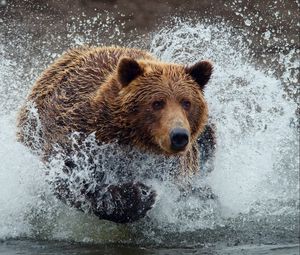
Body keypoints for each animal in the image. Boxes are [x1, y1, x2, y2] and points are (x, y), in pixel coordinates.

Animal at [17, 45, 214, 223]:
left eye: (186, 102)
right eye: (157, 103)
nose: (179, 136)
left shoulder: (174, 166)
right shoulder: (80, 134)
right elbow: (70, 176)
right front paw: (139, 194)